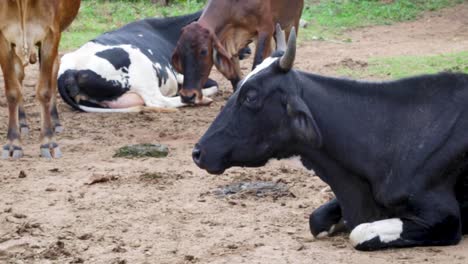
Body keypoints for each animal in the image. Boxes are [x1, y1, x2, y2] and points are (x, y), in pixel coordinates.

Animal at [0, 0, 80, 159]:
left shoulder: (51, 34)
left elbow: (44, 91)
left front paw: (48, 142)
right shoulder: (3, 37)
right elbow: (12, 92)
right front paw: (13, 143)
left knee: (55, 68)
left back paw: (55, 121)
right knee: (20, 75)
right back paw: (22, 122)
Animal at [171, 0, 304, 105]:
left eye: (203, 51)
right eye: (180, 52)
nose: (187, 96)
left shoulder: (266, 28)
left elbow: (257, 63)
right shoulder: (229, 43)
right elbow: (235, 77)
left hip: (291, 23)